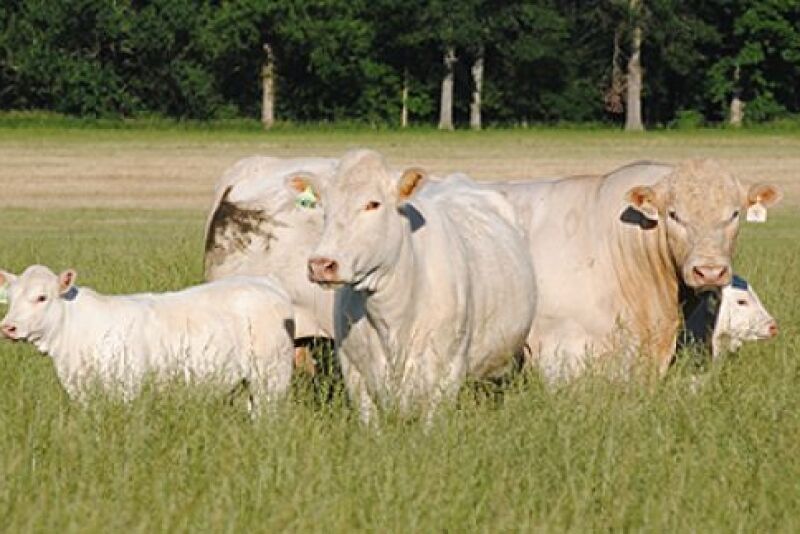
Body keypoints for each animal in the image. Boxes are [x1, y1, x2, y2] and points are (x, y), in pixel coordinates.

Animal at [0, 265, 294, 410]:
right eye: (10, 298)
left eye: (41, 297)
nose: (8, 327)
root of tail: (267, 284)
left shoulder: (127, 389)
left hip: (271, 377)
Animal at [304, 149, 537, 423]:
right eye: (324, 207)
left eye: (373, 204)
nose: (321, 264)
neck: (392, 320)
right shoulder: (355, 375)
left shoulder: (447, 373)